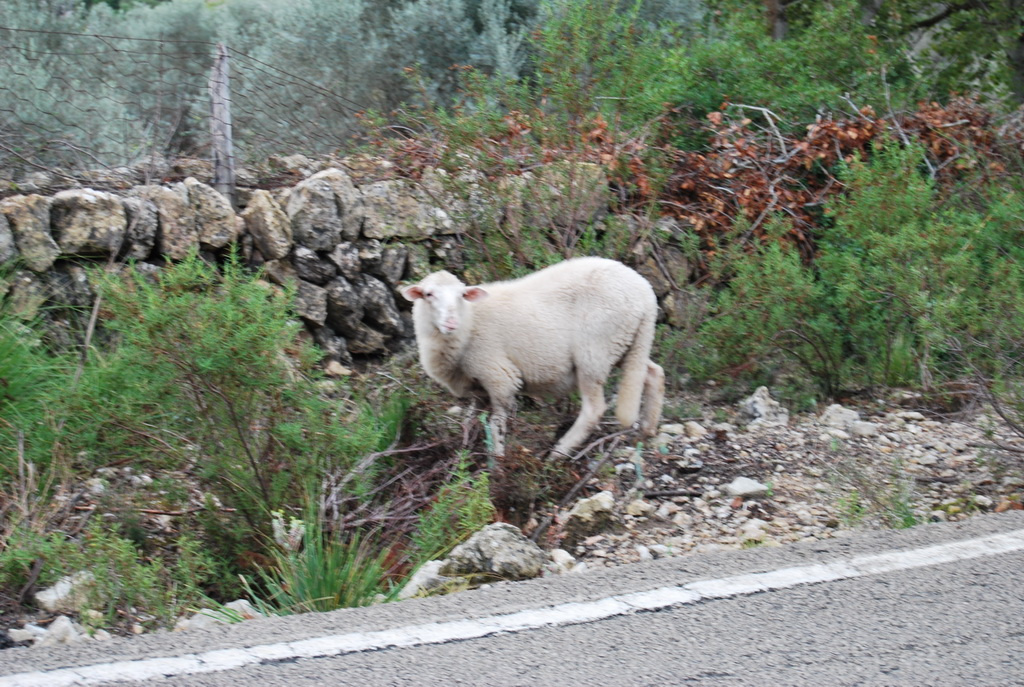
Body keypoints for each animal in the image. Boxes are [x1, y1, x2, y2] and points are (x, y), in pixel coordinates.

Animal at [403, 256, 667, 456]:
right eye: (428, 294)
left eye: (461, 295)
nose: (451, 323)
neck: (469, 322)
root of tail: (645, 292)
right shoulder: (477, 388)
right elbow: (470, 420)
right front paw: (464, 454)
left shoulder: (499, 377)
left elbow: (495, 425)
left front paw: (496, 463)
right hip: (627, 343)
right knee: (653, 372)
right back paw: (648, 429)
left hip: (595, 350)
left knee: (594, 409)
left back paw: (559, 452)